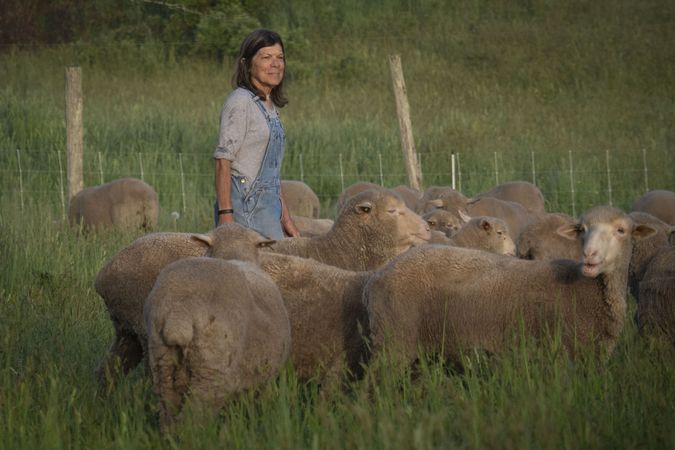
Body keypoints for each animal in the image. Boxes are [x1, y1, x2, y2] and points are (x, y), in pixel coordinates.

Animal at [145, 256, 288, 426]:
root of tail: (180, 309)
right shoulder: (263, 383)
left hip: (161, 362)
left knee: (168, 408)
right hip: (212, 371)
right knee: (195, 415)